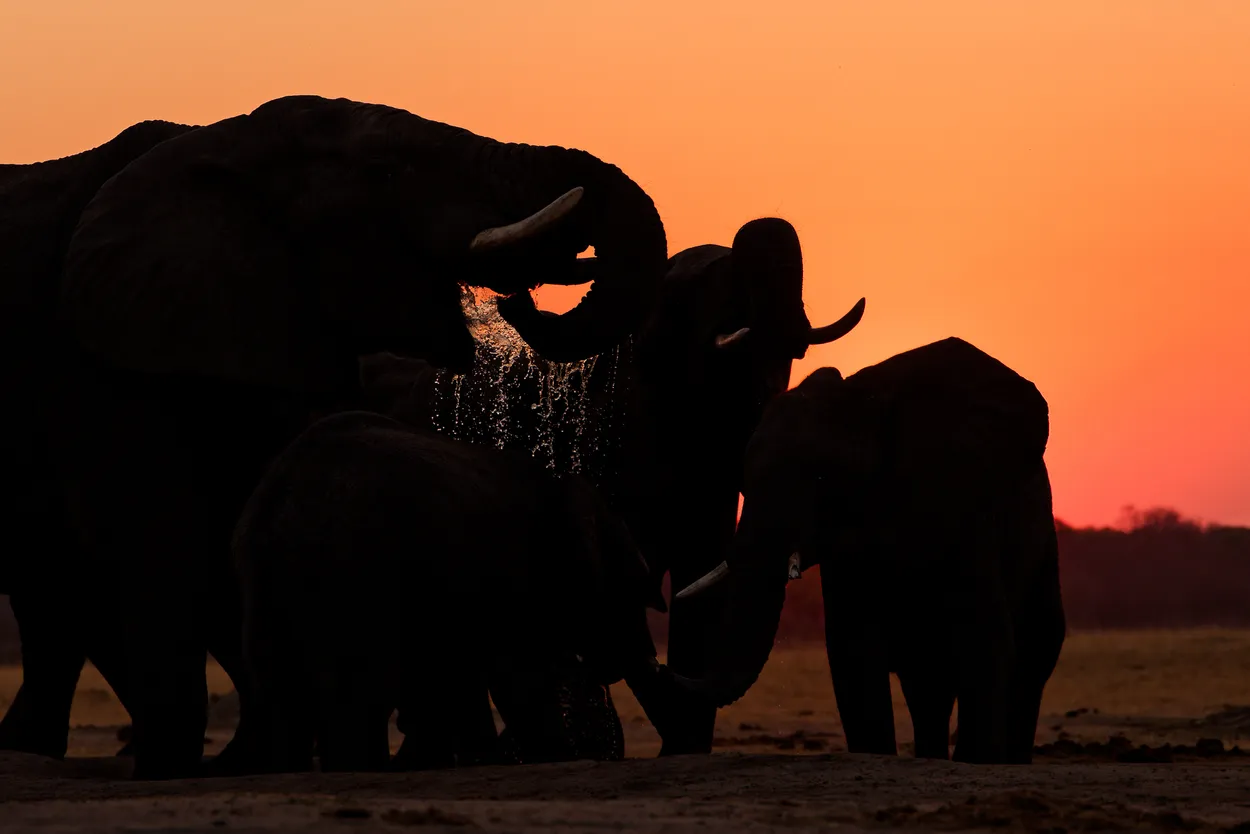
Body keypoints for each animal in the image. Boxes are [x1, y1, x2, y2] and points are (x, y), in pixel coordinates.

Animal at [231, 410, 671, 772]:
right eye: (629, 590)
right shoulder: (512, 572)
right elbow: (519, 677)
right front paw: (553, 757)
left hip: (269, 584)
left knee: (281, 699)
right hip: (356, 577)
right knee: (355, 700)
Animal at [675, 337, 1067, 764]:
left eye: (822, 478)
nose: (671, 671)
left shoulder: (965, 510)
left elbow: (983, 640)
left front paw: (977, 760)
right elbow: (853, 650)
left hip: (1045, 550)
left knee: (1033, 657)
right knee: (926, 686)